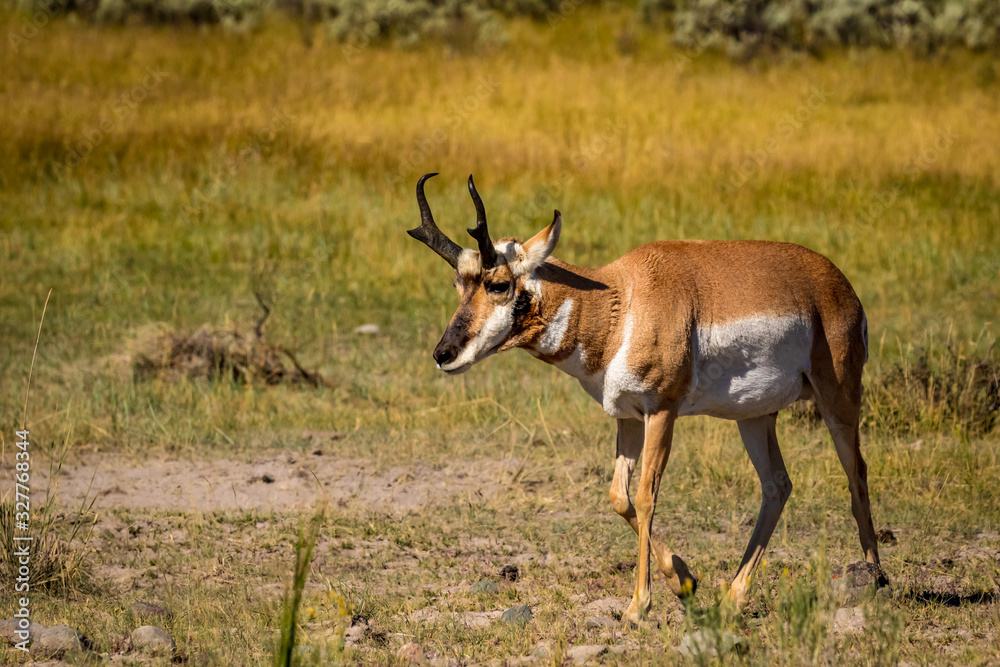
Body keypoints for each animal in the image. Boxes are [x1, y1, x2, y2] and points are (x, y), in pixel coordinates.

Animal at [408, 173, 886, 625]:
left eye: (499, 284)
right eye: (459, 283)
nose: (443, 354)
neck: (622, 300)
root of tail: (837, 281)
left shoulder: (662, 412)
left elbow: (645, 497)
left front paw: (639, 606)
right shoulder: (628, 417)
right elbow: (618, 497)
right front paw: (685, 580)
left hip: (838, 400)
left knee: (856, 474)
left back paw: (876, 579)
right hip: (754, 417)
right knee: (778, 485)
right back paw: (733, 597)